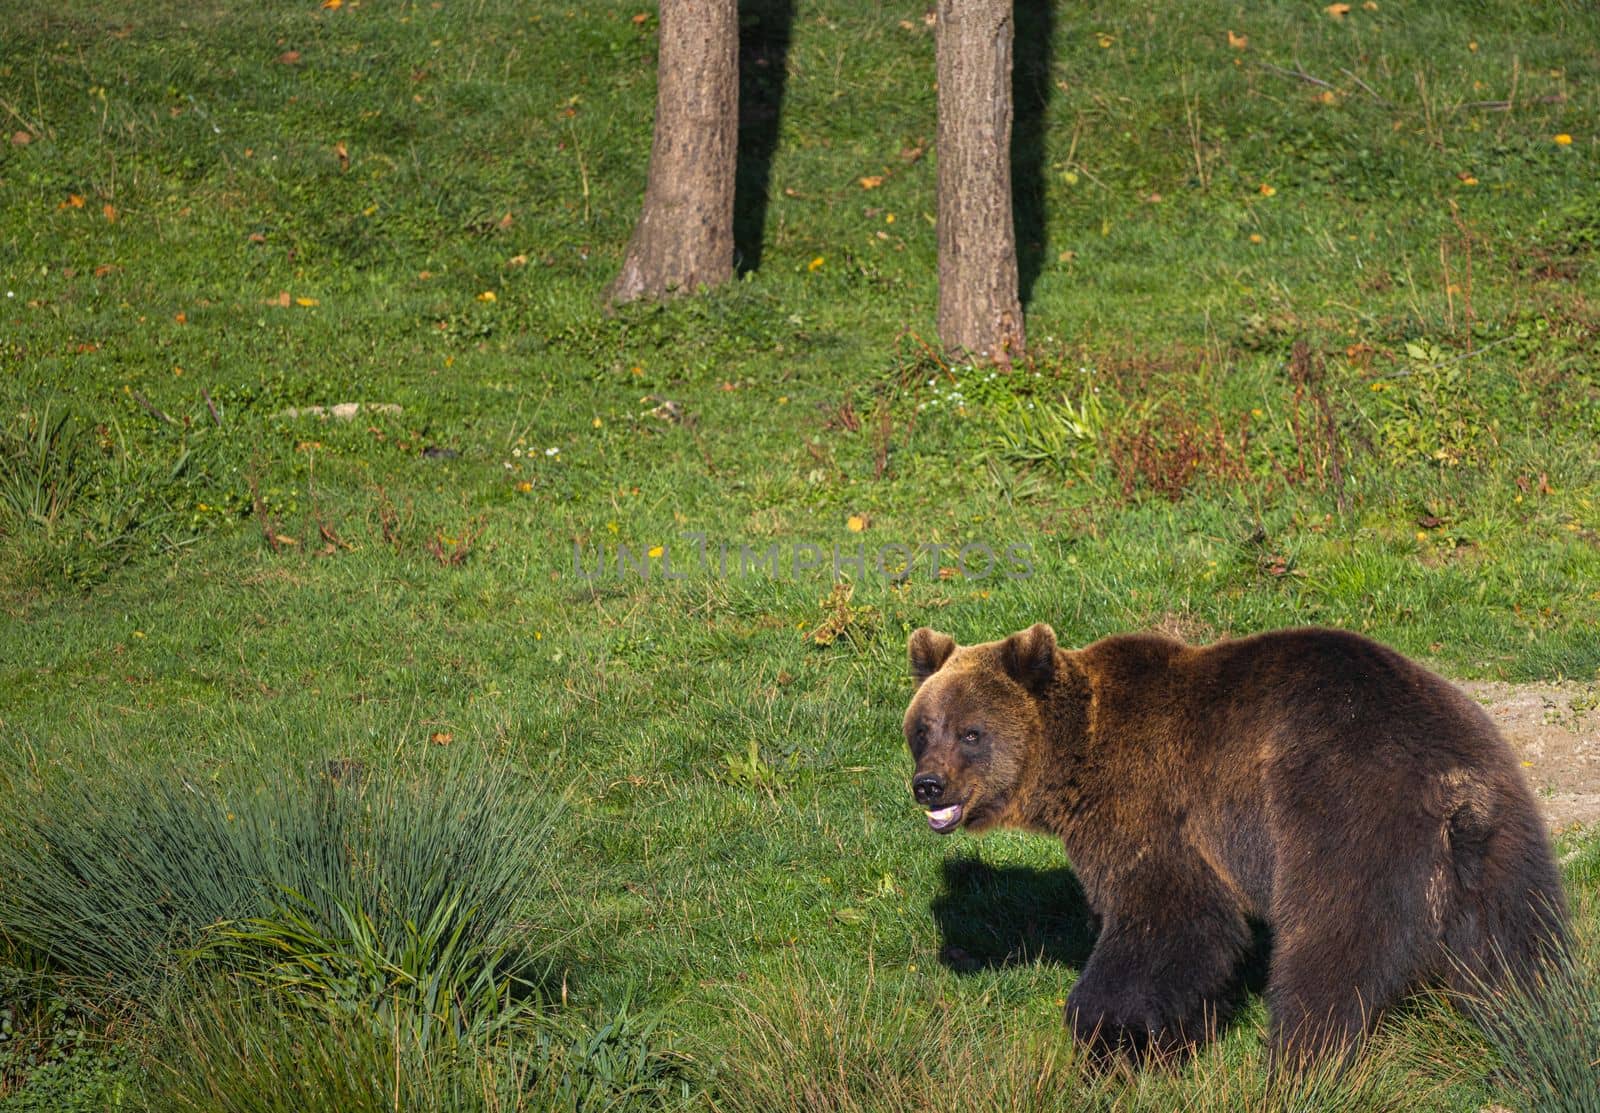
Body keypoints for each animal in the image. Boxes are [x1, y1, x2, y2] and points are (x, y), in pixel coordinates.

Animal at [908, 620, 1568, 1068]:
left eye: (971, 732)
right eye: (922, 728)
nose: (927, 785)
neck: (1076, 761)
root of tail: (1458, 792)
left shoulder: (1154, 807)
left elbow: (1170, 921)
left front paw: (1106, 1030)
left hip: (1344, 822)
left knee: (1329, 950)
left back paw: (1296, 1059)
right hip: (1508, 847)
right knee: (1523, 953)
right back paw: (1538, 1029)